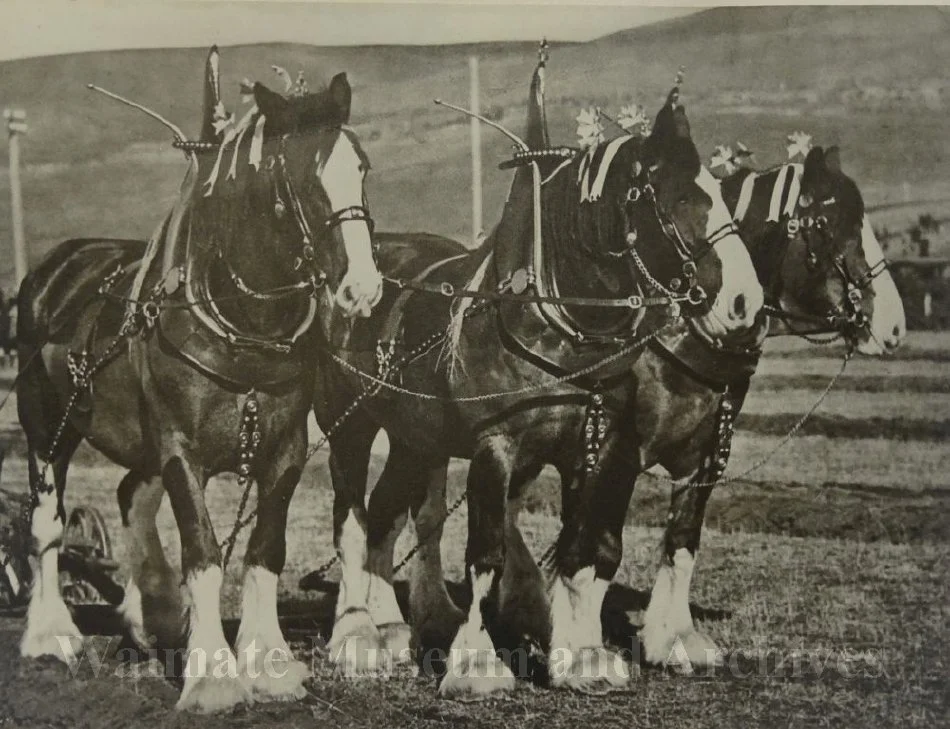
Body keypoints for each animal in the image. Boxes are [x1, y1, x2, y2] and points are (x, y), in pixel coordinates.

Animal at [13, 48, 382, 708]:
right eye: (303, 179)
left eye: (360, 167)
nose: (362, 289)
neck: (242, 324)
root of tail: (55, 267)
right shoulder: (180, 449)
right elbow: (205, 552)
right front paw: (212, 673)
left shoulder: (284, 449)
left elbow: (264, 551)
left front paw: (267, 661)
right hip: (45, 428)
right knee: (47, 521)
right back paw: (49, 632)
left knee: (131, 494)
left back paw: (152, 612)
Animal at [316, 65, 764, 696]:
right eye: (679, 198)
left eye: (723, 197)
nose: (745, 301)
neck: (553, 326)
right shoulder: (495, 448)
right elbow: (486, 553)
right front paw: (477, 664)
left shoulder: (597, 447)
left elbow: (588, 548)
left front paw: (580, 654)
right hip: (348, 426)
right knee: (352, 521)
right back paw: (355, 637)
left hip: (414, 437)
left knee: (382, 516)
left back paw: (392, 627)